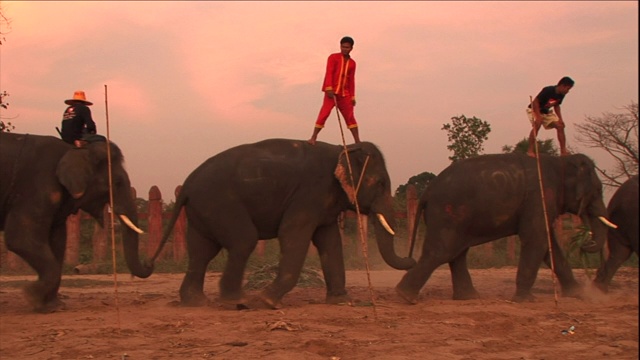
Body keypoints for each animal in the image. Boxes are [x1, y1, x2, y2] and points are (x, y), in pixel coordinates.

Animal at [0, 132, 152, 312]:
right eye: (117, 183)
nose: (148, 262)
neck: (75, 149)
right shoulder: (36, 186)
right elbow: (19, 238)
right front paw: (31, 296)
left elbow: (58, 242)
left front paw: (53, 306)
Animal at [152, 139, 418, 308]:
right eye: (381, 184)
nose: (413, 259)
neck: (341, 148)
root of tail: (187, 185)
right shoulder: (309, 193)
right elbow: (293, 234)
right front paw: (267, 301)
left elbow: (330, 242)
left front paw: (341, 301)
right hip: (220, 203)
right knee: (242, 241)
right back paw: (238, 301)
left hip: (202, 210)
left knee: (201, 252)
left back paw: (196, 302)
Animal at [396, 152, 616, 304]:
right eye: (598, 190)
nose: (585, 243)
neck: (560, 161)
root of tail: (427, 191)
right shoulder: (539, 198)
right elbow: (536, 240)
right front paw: (525, 301)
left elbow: (548, 244)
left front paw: (578, 294)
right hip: (448, 213)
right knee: (442, 252)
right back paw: (406, 297)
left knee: (456, 253)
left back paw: (469, 298)